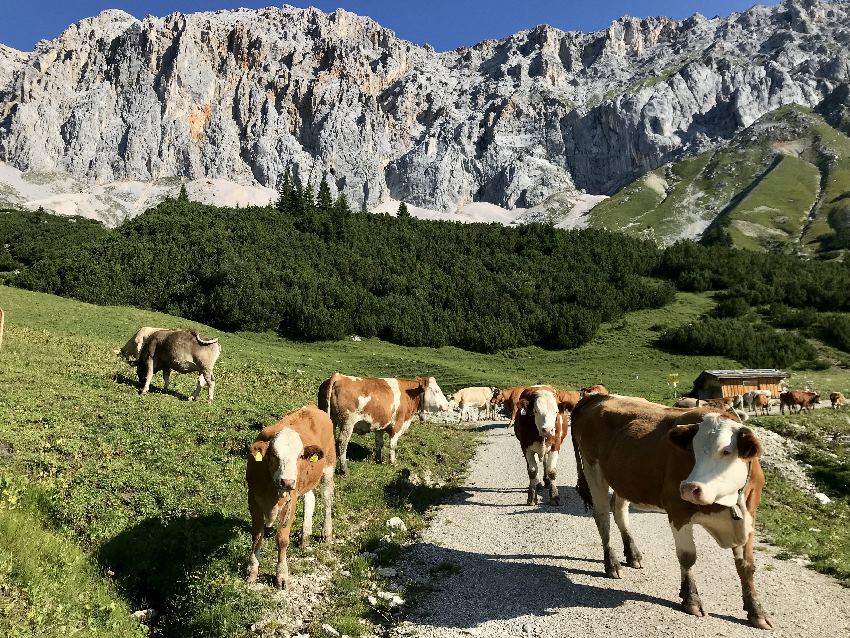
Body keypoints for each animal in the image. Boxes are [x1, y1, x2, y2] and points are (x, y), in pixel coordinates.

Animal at [243, 408, 332, 592]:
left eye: (300, 456)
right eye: (274, 454)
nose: (288, 482)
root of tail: (311, 407)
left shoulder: (290, 501)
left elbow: (282, 539)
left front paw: (281, 575)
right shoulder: (253, 498)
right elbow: (257, 535)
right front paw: (252, 570)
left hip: (328, 466)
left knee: (327, 500)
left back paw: (326, 533)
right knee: (310, 499)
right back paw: (305, 536)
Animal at [318, 376, 450, 476]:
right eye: (436, 391)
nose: (447, 405)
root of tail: (339, 376)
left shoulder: (380, 425)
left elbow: (379, 443)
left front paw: (378, 459)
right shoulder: (397, 425)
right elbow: (392, 445)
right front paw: (393, 462)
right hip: (347, 423)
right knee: (342, 443)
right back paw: (344, 469)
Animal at [568, 396, 772, 632]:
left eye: (726, 451)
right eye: (692, 450)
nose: (690, 488)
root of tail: (598, 397)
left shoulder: (748, 516)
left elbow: (747, 566)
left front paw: (757, 611)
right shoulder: (678, 510)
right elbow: (687, 557)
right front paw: (691, 599)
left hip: (624, 477)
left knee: (619, 511)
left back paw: (633, 554)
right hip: (593, 469)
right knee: (602, 516)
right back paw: (612, 563)